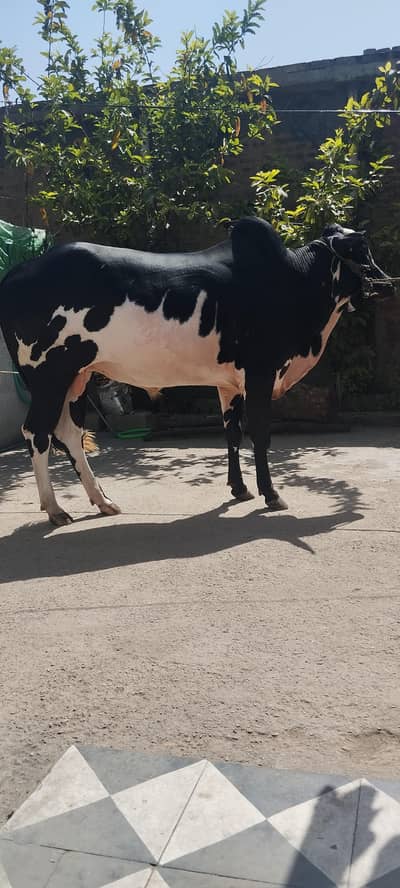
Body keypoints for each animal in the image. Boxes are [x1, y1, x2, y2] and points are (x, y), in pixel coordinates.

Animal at [0, 217, 394, 526]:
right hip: (48, 377)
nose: (388, 284)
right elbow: (260, 434)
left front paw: (239, 489)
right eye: (362, 250)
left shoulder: (229, 382)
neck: (292, 281)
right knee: (36, 432)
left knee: (69, 432)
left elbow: (232, 433)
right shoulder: (261, 374)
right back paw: (55, 508)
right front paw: (271, 494)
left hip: (76, 378)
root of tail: (18, 272)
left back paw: (103, 501)